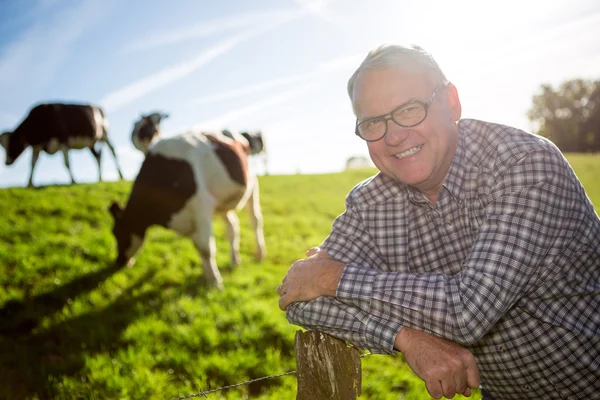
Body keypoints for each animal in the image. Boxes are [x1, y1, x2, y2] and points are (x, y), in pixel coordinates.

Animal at [108, 130, 268, 290]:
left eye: (117, 232)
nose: (118, 262)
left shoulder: (202, 206)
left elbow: (206, 248)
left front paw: (215, 282)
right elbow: (198, 247)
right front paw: (206, 275)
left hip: (252, 184)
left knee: (255, 220)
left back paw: (260, 254)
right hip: (224, 200)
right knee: (232, 226)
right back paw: (235, 260)